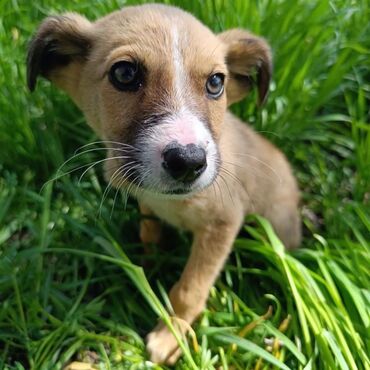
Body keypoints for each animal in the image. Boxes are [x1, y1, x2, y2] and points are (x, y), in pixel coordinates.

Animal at [28, 4, 300, 366]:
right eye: (124, 74)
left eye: (216, 82)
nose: (188, 162)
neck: (171, 202)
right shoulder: (146, 201)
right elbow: (149, 232)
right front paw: (148, 263)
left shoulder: (222, 223)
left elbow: (189, 289)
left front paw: (170, 336)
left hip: (278, 227)